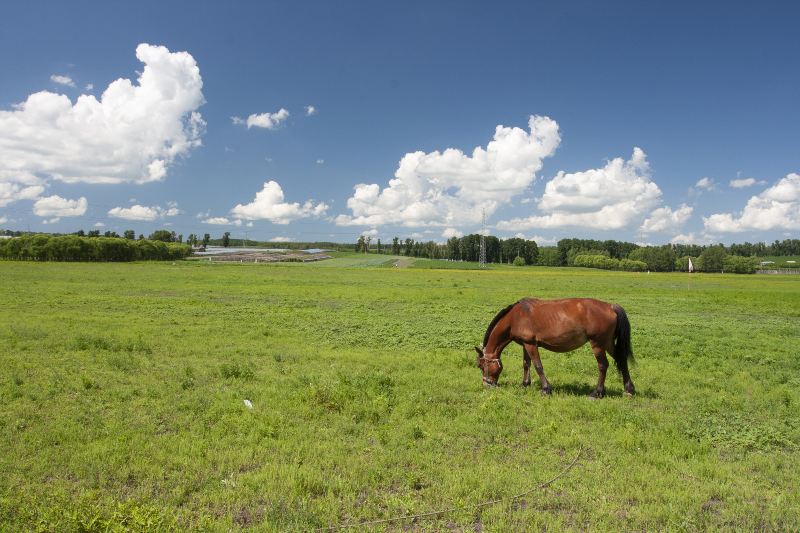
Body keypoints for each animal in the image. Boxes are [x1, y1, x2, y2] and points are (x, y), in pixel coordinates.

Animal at [472, 298, 636, 396]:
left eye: (481, 366)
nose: (486, 385)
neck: (515, 317)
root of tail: (611, 306)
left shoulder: (531, 344)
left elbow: (538, 366)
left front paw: (546, 389)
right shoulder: (525, 344)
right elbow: (526, 364)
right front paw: (525, 384)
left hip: (598, 344)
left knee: (603, 365)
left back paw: (597, 392)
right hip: (608, 343)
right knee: (621, 359)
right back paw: (629, 390)